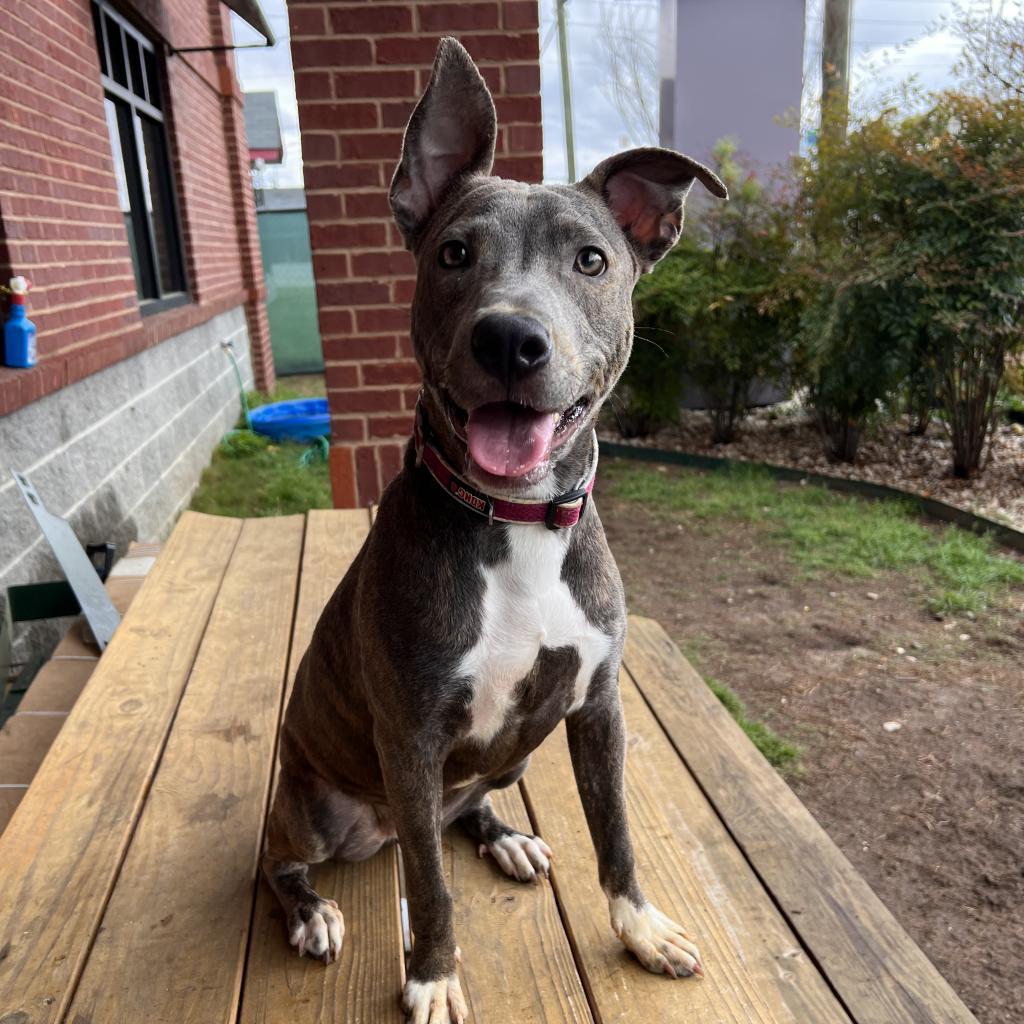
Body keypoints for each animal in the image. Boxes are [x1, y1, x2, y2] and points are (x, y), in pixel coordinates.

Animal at [266, 36, 729, 1019]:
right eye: (454, 252)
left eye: (591, 261)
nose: (511, 339)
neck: (518, 525)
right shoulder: (411, 737)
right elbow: (432, 887)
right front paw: (436, 976)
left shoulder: (597, 707)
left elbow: (616, 833)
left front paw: (640, 929)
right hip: (315, 804)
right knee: (289, 861)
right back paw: (313, 912)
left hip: (510, 756)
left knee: (462, 810)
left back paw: (502, 835)